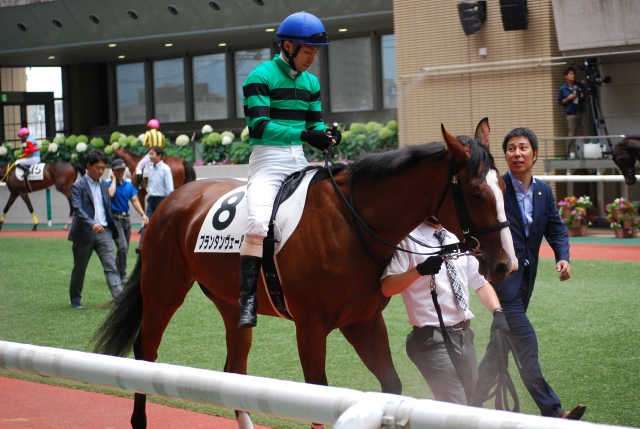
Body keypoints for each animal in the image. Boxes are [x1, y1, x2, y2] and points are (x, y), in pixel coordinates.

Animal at [93, 118, 518, 429]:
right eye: (476, 191)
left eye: (503, 185)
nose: (505, 264)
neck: (351, 222)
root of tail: (170, 201)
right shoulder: (310, 327)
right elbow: (318, 396)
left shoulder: (364, 321)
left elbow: (390, 386)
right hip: (163, 290)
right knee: (145, 353)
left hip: (231, 304)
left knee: (234, 370)